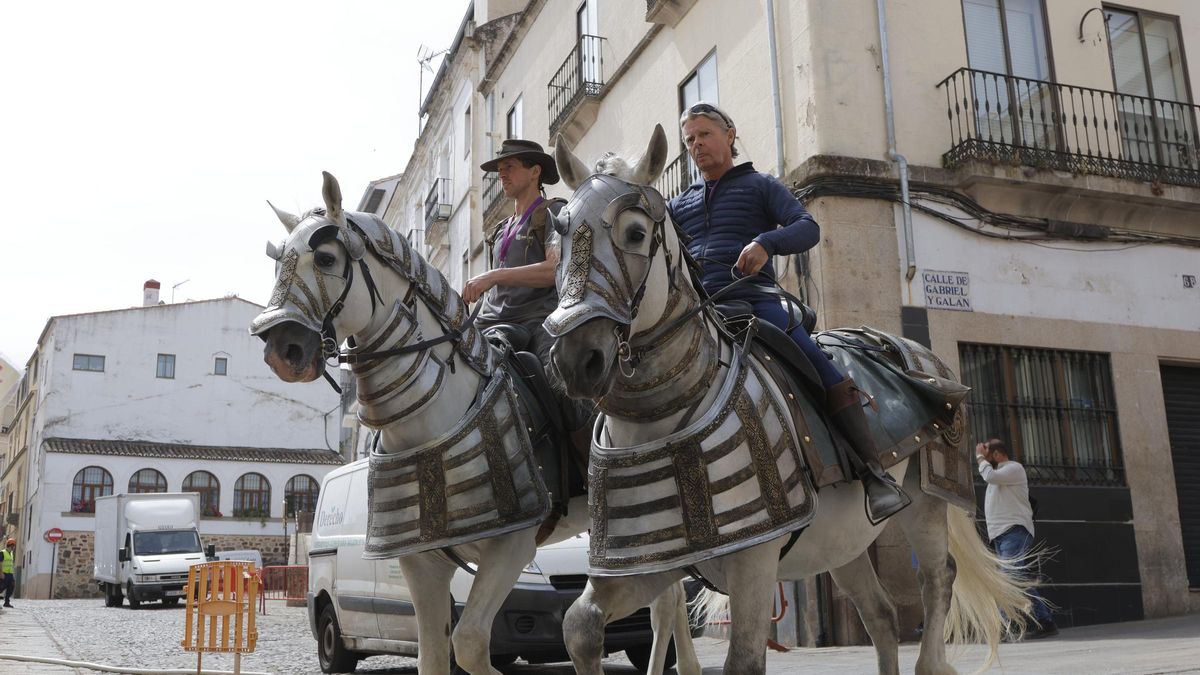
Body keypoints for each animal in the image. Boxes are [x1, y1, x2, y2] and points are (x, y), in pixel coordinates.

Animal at [249, 172, 700, 672]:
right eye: (277, 264)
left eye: (326, 258)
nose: (282, 350)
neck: (432, 418)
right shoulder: (421, 562)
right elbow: (432, 650)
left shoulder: (512, 547)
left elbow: (466, 643)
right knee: (670, 599)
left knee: (666, 601)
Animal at [549, 127, 1036, 672]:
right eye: (560, 235)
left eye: (635, 234)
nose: (576, 359)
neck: (658, 416)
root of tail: (911, 350)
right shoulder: (648, 564)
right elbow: (580, 627)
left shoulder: (753, 563)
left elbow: (743, 660)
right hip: (843, 539)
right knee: (882, 616)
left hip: (929, 502)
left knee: (938, 580)